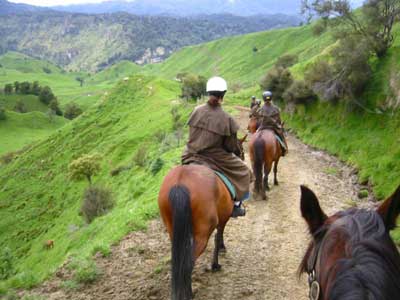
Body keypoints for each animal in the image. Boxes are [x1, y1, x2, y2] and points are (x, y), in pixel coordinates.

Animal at [157, 137, 245, 300]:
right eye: (241, 150)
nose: (241, 156)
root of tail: (180, 181)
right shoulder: (223, 217)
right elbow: (219, 235)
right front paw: (217, 260)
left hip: (173, 230)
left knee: (179, 260)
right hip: (202, 233)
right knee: (188, 263)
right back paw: (188, 293)